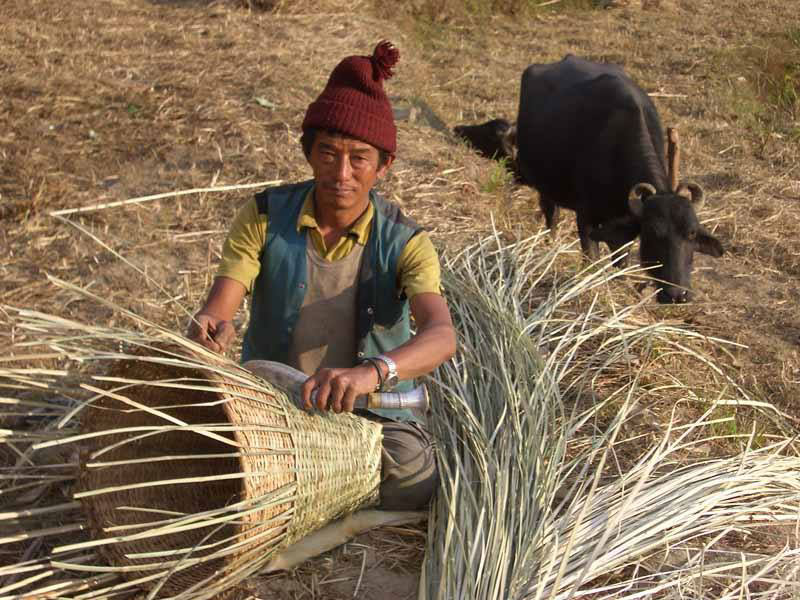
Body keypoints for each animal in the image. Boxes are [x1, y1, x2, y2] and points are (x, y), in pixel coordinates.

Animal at [456, 56, 724, 304]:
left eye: (691, 233)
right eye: (654, 233)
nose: (677, 295)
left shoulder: (622, 226)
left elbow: (621, 262)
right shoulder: (585, 217)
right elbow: (591, 259)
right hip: (546, 186)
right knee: (551, 216)